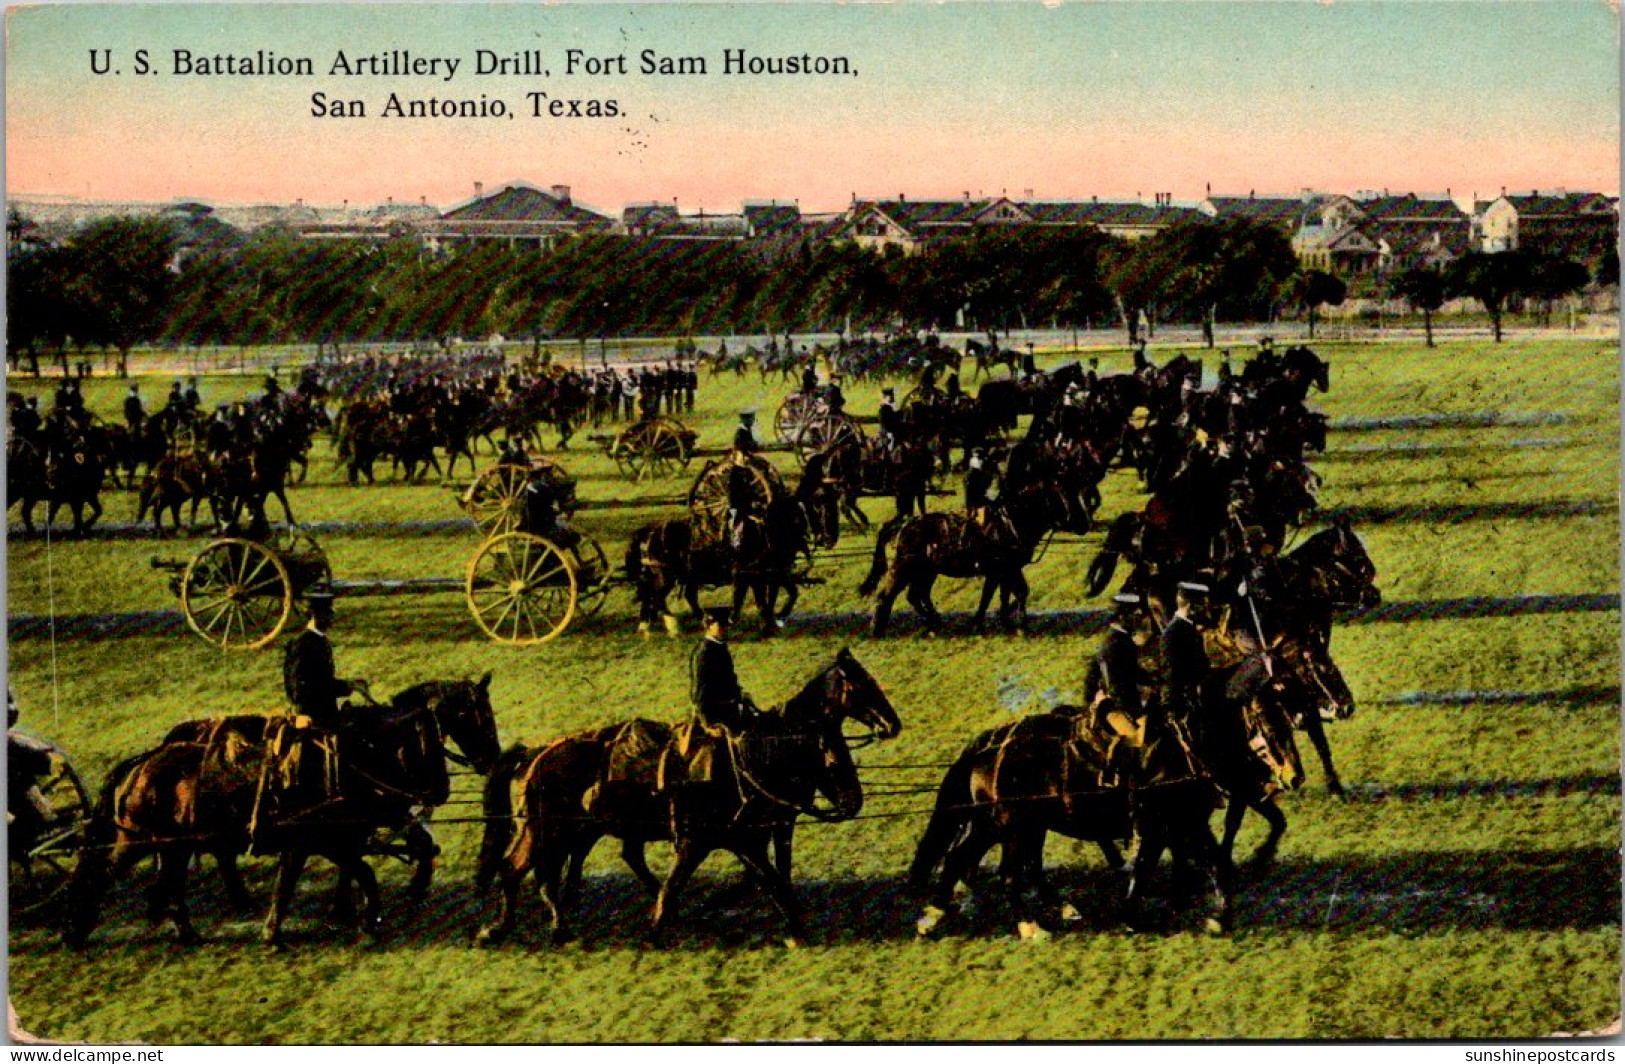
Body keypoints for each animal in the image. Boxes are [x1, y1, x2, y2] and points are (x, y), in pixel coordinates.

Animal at [63, 679, 497, 942]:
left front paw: (354, 911)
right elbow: (314, 876)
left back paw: (189, 927)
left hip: (172, 844)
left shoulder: (340, 836)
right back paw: (76, 927)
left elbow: (365, 865)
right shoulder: (319, 839)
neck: (361, 753)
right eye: (479, 718)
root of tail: (143, 761)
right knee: (108, 873)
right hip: (143, 841)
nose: (491, 761)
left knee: (172, 880)